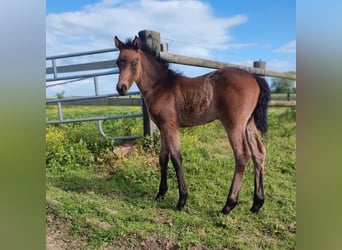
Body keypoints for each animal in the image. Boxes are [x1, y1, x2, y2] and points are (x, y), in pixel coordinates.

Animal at [115, 35, 270, 215]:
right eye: (118, 62)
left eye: (134, 62)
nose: (121, 88)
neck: (160, 86)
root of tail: (254, 77)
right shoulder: (163, 127)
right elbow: (163, 158)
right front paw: (161, 193)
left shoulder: (170, 126)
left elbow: (176, 158)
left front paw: (181, 200)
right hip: (249, 124)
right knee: (259, 153)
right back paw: (257, 203)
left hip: (234, 125)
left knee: (242, 156)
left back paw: (228, 205)